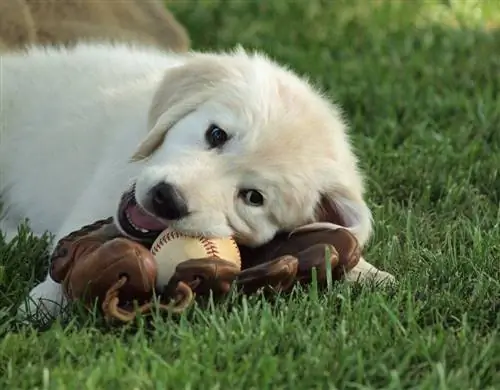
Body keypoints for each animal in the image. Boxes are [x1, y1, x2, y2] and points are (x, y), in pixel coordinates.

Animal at [0, 42, 394, 322]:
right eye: (216, 134)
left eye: (253, 197)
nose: (166, 199)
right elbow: (69, 249)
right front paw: (43, 303)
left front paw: (371, 273)